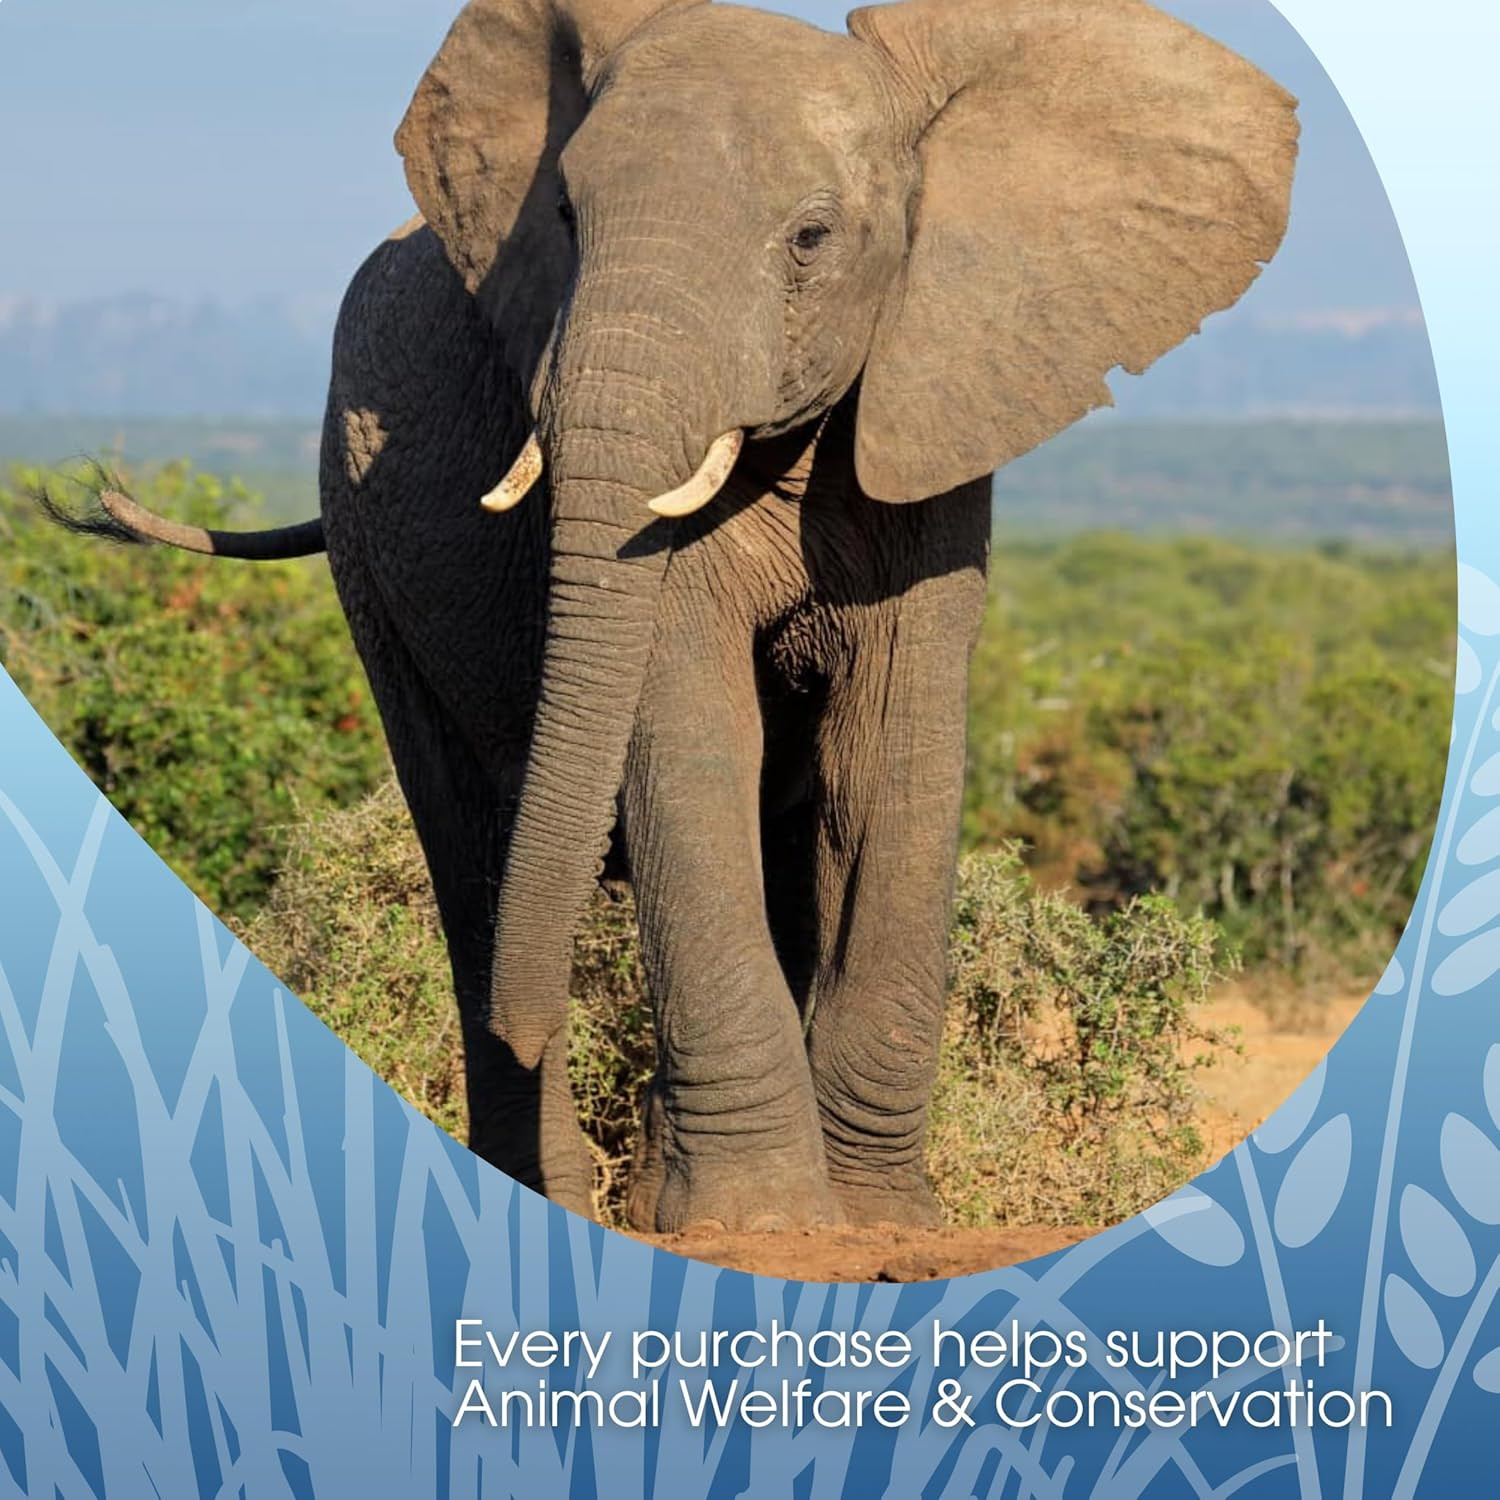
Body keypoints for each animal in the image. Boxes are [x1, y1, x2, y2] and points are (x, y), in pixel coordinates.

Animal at [61, 0, 1296, 1232]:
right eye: (564, 215)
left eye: (811, 239)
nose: (535, 1019)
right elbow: (692, 733)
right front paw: (763, 1223)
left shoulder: (937, 412)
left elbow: (887, 752)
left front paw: (876, 1224)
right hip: (362, 531)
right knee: (467, 846)